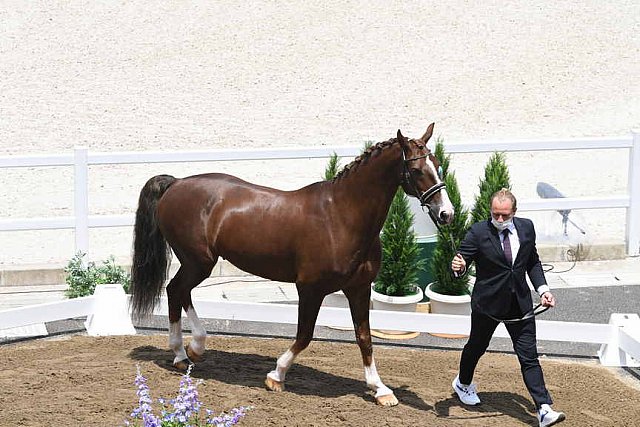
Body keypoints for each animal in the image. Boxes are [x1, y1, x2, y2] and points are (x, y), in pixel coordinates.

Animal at [130, 124, 452, 408]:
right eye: (416, 169)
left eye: (438, 165)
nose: (446, 213)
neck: (342, 216)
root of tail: (176, 183)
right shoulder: (310, 288)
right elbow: (304, 335)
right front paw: (276, 375)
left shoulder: (359, 288)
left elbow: (365, 338)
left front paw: (381, 390)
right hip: (198, 262)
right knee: (176, 290)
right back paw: (186, 351)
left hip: (196, 263)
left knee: (179, 292)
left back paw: (188, 351)